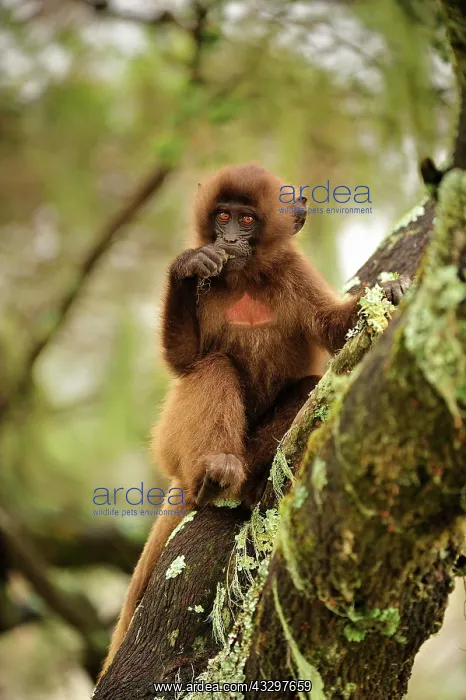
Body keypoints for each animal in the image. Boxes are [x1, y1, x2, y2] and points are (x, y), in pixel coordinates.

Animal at [101, 163, 409, 674]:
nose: (227, 239)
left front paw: (389, 291)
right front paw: (188, 267)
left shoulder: (294, 272)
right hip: (172, 442)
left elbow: (333, 329)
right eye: (222, 215)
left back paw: (248, 476)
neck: (245, 278)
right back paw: (217, 471)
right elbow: (186, 360)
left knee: (304, 387)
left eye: (246, 220)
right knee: (214, 366)